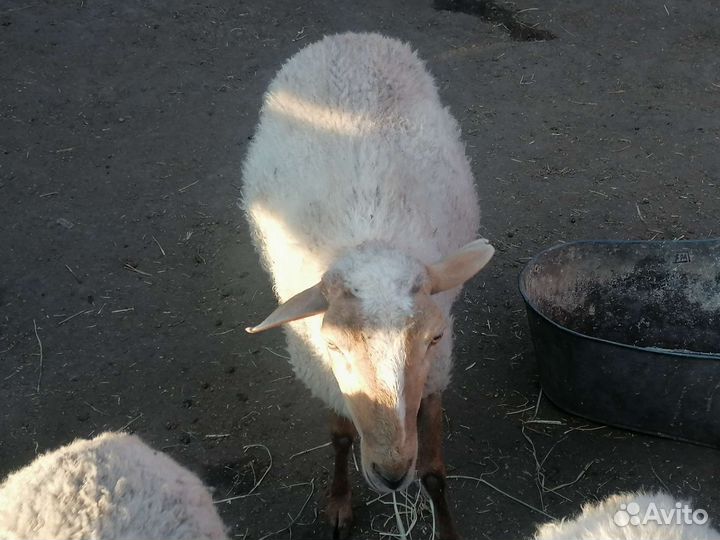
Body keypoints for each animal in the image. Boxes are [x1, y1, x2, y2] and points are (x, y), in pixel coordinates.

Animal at [241, 31, 493, 539]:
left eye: (435, 337)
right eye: (333, 346)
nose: (392, 473)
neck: (370, 237)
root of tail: (347, 38)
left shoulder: (435, 375)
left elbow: (434, 472)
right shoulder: (324, 375)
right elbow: (340, 438)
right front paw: (339, 502)